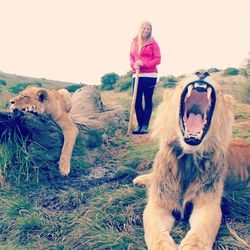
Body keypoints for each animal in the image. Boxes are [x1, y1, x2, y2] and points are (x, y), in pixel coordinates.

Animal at [133, 70, 236, 250]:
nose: (202, 71)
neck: (188, 158)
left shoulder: (208, 203)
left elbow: (203, 230)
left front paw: (193, 246)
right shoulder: (158, 203)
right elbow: (154, 232)